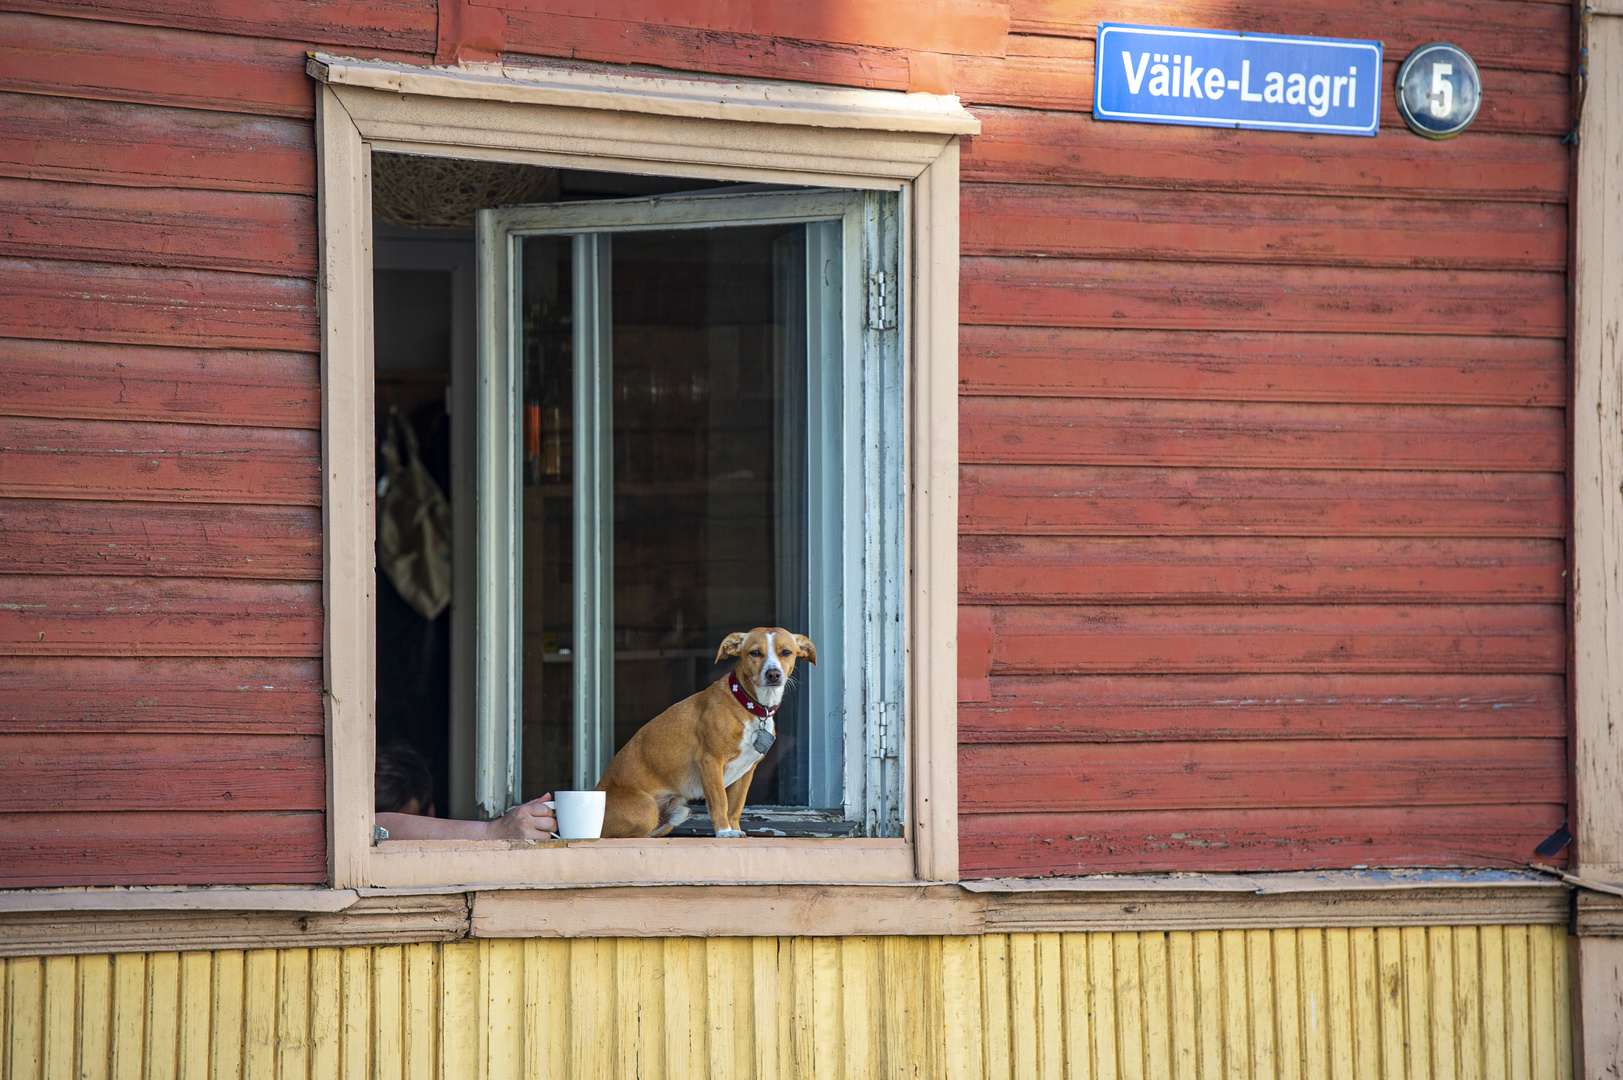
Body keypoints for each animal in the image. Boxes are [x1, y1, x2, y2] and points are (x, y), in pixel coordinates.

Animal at [597, 623, 817, 844]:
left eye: (786, 652)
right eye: (755, 653)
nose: (773, 674)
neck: (749, 705)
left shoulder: (746, 771)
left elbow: (735, 808)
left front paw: (735, 830)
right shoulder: (710, 761)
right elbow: (720, 803)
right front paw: (724, 832)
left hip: (677, 813)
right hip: (647, 811)